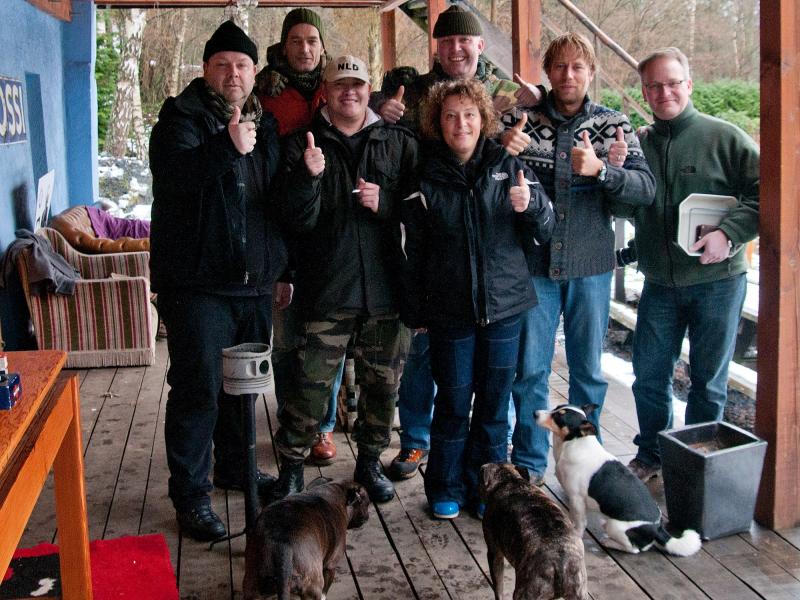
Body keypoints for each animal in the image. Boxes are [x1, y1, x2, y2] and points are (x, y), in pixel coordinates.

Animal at [479, 463, 588, 600]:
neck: (510, 480)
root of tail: (560, 566)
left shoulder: (495, 553)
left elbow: (498, 589)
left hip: (524, 593)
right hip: (579, 591)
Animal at [536, 404, 701, 556]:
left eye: (559, 417)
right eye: (556, 408)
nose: (535, 413)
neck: (574, 443)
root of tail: (658, 528)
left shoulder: (577, 499)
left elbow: (579, 523)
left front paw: (576, 534)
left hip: (615, 527)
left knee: (634, 549)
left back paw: (609, 542)